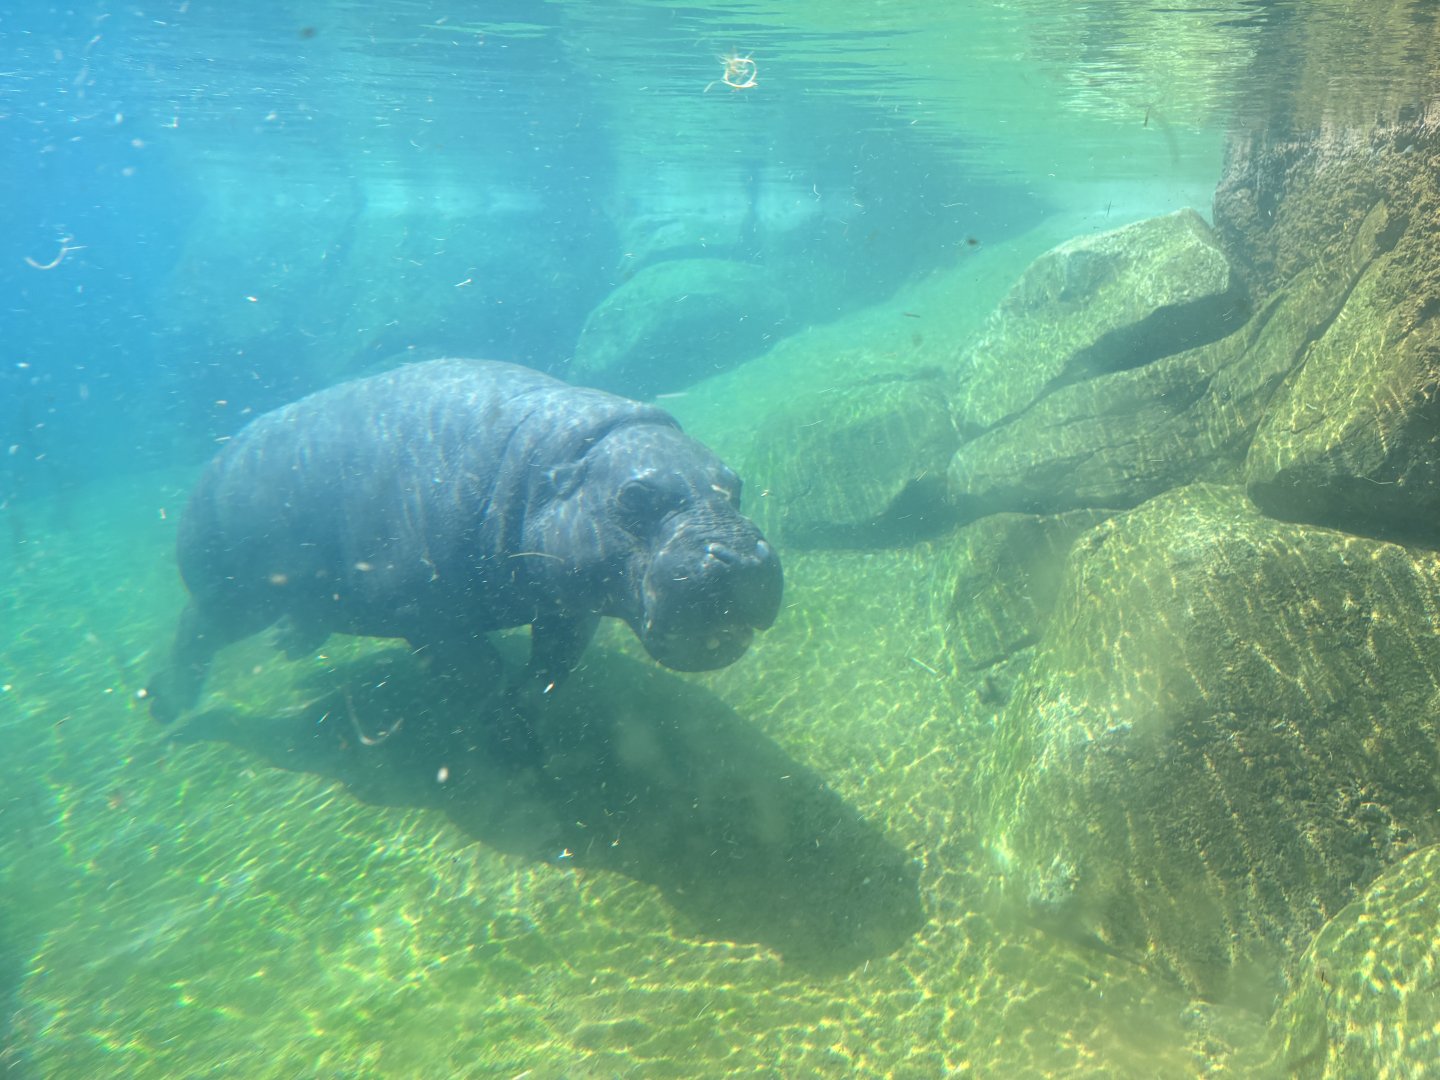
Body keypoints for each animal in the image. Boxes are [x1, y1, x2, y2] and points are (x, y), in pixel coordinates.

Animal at [145, 359, 783, 724]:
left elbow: (557, 658)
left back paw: (289, 647)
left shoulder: (567, 597)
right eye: (634, 497)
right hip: (234, 593)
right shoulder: (421, 610)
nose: (739, 559)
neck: (546, 466)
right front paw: (497, 710)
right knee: (194, 628)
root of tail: (218, 456)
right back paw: (170, 709)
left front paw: (530, 697)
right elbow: (472, 667)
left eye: (734, 484)